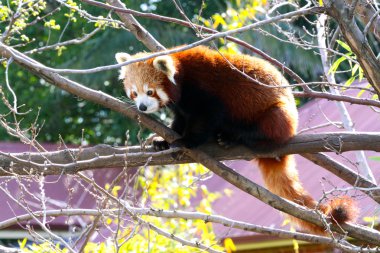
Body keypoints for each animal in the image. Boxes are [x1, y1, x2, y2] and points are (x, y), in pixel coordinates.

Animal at [114, 45, 358, 235]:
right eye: (134, 92)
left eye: (150, 92)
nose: (142, 107)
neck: (181, 74)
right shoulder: (181, 106)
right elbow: (180, 121)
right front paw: (162, 139)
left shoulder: (204, 91)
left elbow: (205, 118)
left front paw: (185, 141)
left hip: (278, 115)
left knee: (270, 126)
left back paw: (234, 137)